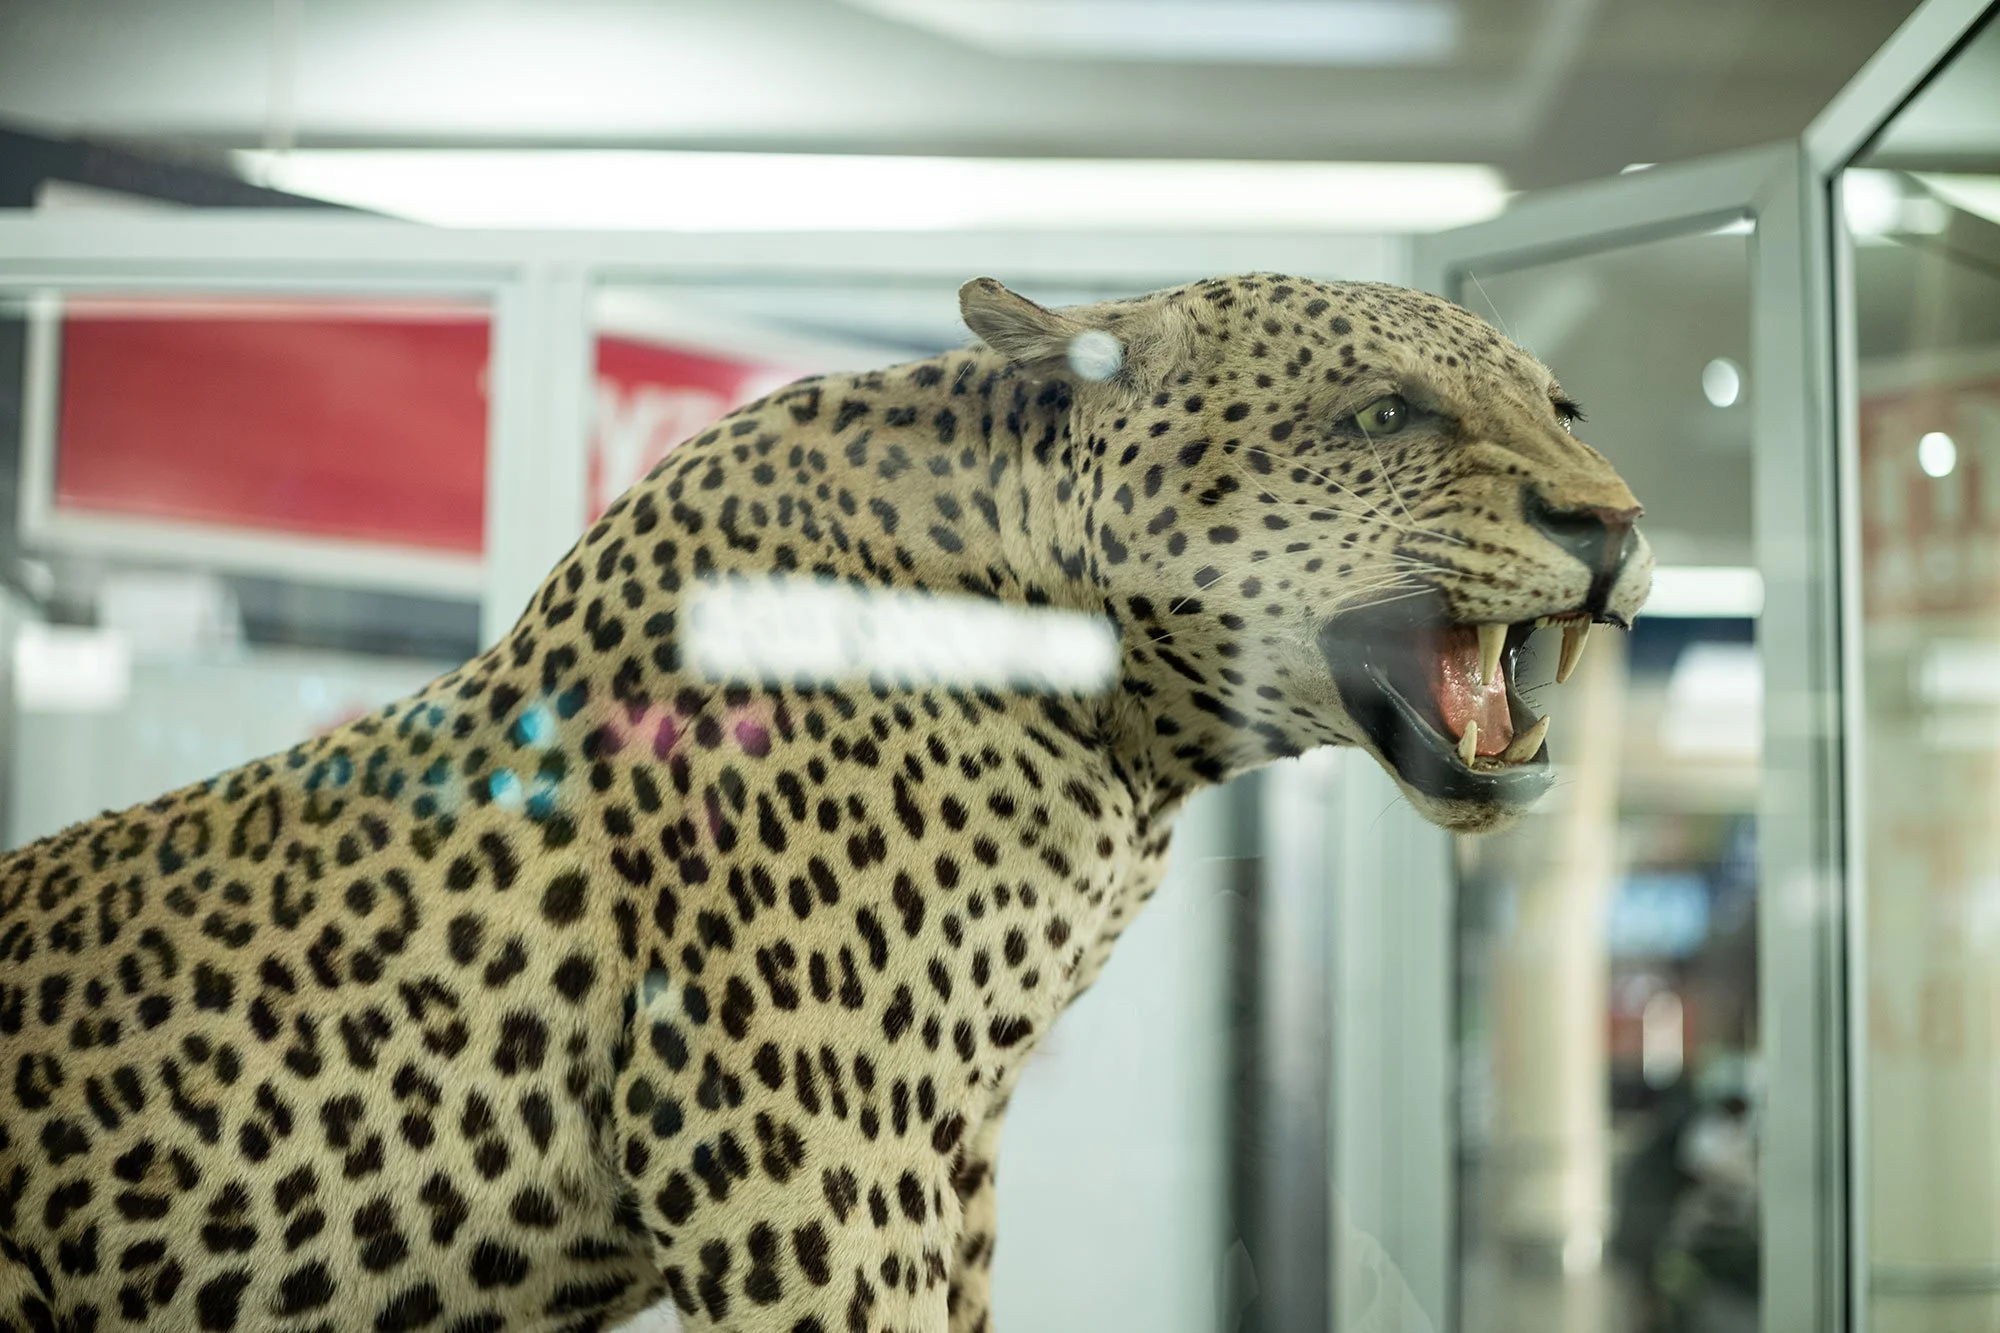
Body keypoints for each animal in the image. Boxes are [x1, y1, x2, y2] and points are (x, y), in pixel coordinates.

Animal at [0, 273, 1649, 1333]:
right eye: (1385, 416)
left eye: (1568, 403)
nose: (1618, 523)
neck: (1124, 731)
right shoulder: (801, 1162)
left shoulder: (948, 1152)